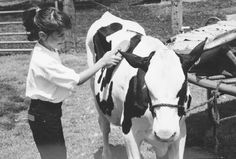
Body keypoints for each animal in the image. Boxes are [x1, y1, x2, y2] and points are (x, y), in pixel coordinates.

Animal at [85, 11, 206, 158]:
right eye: (148, 87)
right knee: (104, 125)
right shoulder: (128, 131)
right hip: (94, 90)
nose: (164, 133)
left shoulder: (180, 131)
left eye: (183, 87)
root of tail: (108, 15)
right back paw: (106, 154)